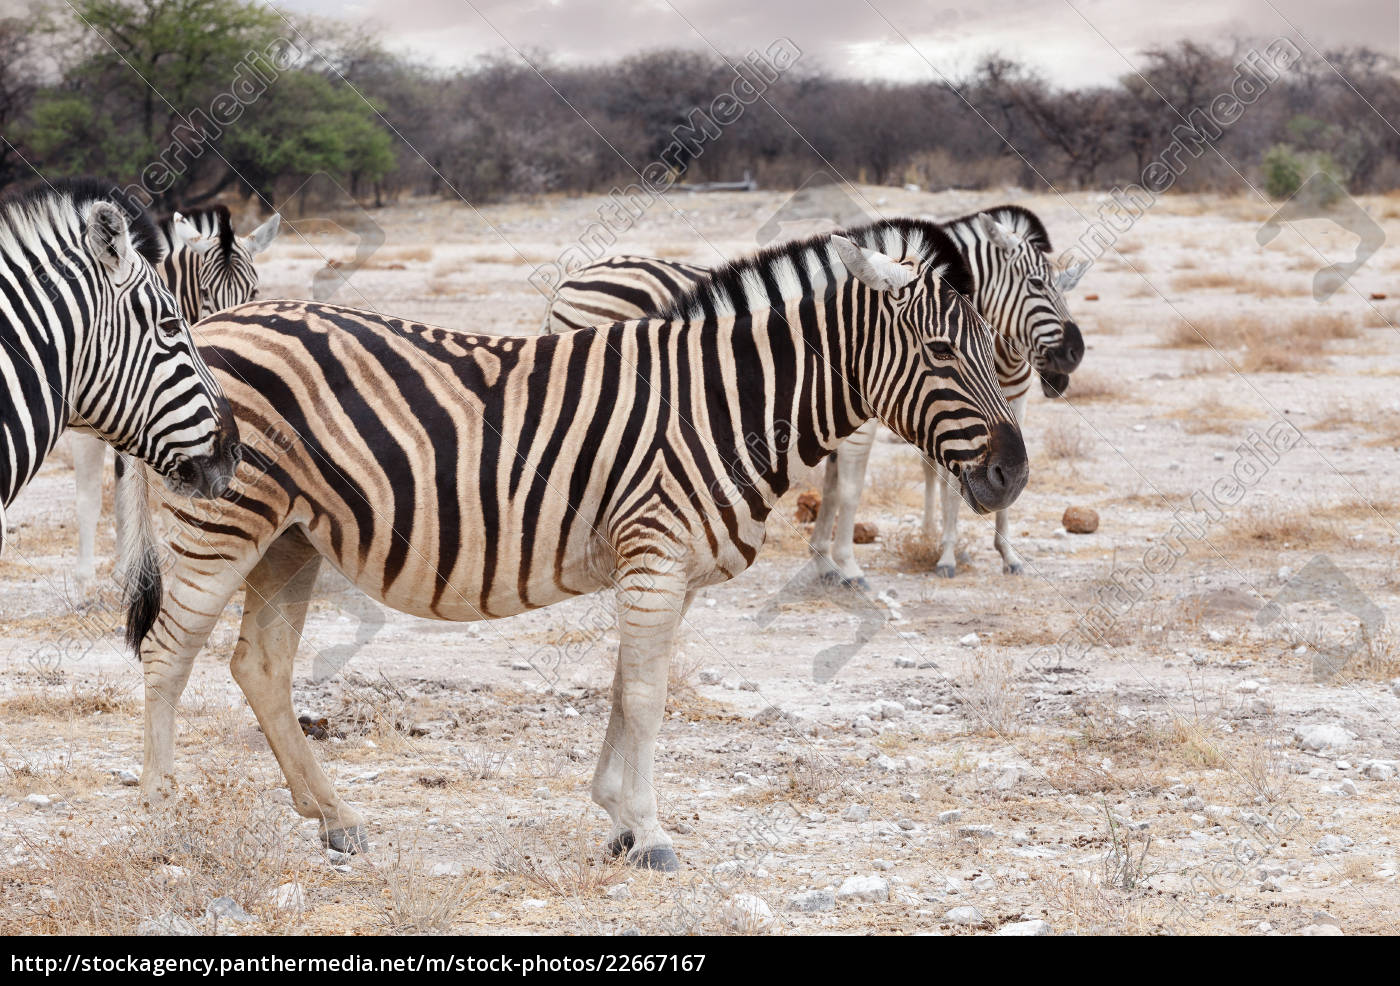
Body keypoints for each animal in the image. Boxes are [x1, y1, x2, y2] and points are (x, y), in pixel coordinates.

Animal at [69, 200, 280, 585]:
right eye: (206, 291)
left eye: (254, 292)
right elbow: (91, 498)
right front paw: (87, 579)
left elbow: (128, 490)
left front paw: (125, 566)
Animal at [120, 219, 1030, 868]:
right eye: (941, 351)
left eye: (994, 349)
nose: (1013, 473)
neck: (724, 404)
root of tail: (212, 326)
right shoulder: (656, 551)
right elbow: (648, 695)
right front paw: (652, 833)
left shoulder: (660, 565)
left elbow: (627, 686)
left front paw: (620, 819)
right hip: (226, 522)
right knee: (167, 654)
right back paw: (163, 824)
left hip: (290, 537)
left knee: (260, 667)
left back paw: (336, 819)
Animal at [540, 203, 1086, 582]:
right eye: (1038, 284)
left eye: (1064, 285)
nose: (1073, 354)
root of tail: (573, 279)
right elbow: (850, 488)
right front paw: (852, 566)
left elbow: (860, 482)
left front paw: (1003, 553)